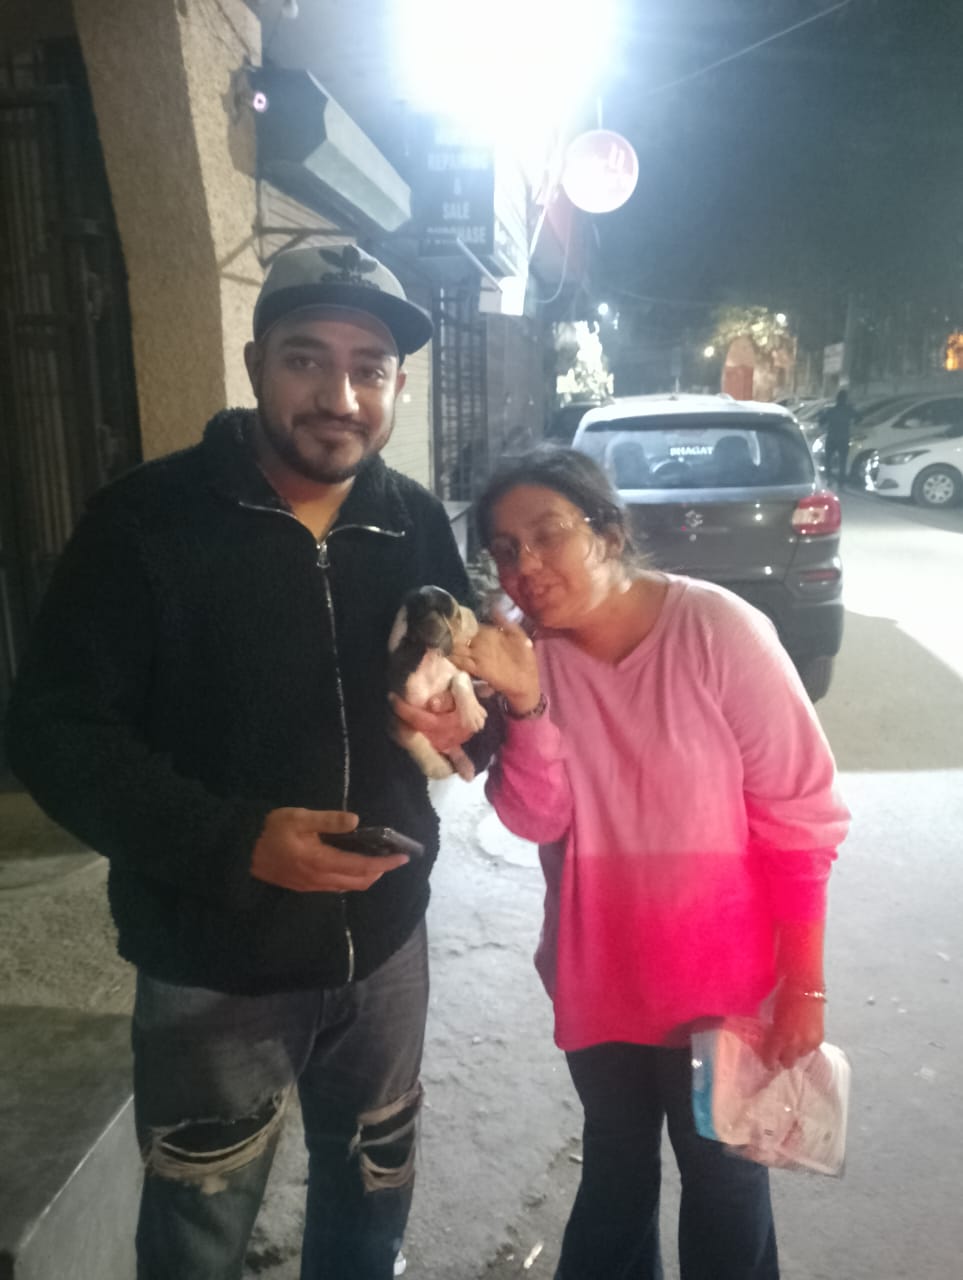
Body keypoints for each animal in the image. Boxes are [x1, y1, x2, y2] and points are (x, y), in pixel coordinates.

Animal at [388, 586, 487, 780]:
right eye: (458, 616)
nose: (475, 612)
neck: (430, 663)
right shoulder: (394, 712)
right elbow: (413, 739)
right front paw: (438, 767)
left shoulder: (453, 671)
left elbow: (461, 677)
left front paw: (472, 714)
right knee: (452, 748)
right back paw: (463, 764)